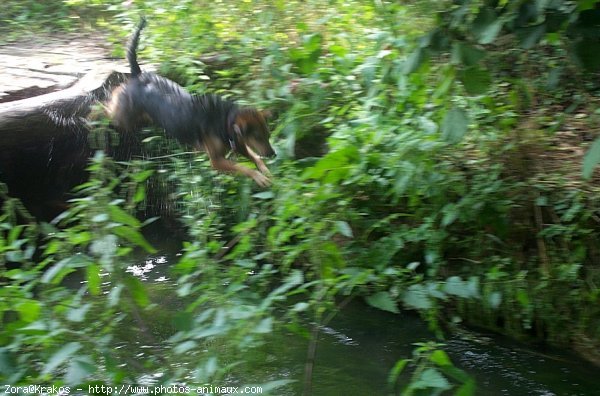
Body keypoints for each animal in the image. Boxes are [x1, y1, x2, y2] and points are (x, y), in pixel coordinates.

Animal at [106, 19, 276, 189]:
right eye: (258, 137)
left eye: (268, 135)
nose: (273, 154)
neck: (225, 120)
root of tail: (139, 75)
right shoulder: (216, 161)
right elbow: (243, 167)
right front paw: (259, 177)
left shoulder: (239, 144)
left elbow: (256, 157)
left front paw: (265, 171)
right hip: (122, 118)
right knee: (111, 102)